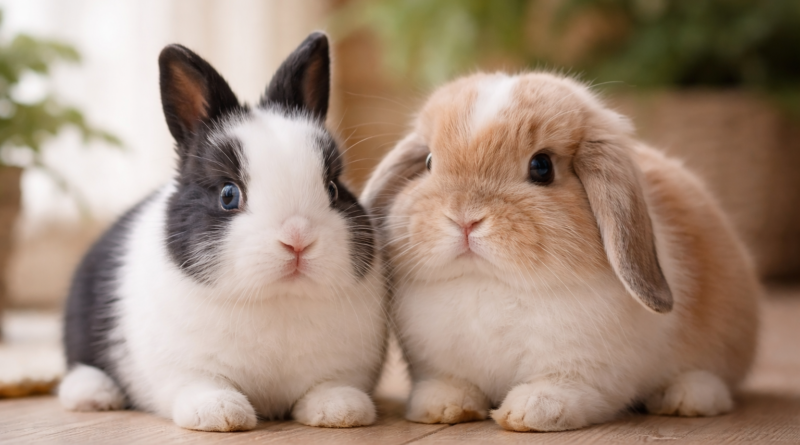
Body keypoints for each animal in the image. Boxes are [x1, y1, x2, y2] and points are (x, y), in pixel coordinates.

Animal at [58, 33, 388, 432]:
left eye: (334, 189)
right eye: (229, 195)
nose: (298, 239)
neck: (277, 300)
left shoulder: (341, 366)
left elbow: (328, 386)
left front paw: (342, 410)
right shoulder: (184, 369)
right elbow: (203, 386)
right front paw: (221, 414)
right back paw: (93, 395)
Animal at [360, 71, 761, 432]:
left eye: (542, 167)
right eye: (429, 163)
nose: (465, 218)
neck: (490, 282)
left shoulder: (591, 374)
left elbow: (564, 391)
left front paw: (527, 412)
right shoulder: (436, 364)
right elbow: (448, 384)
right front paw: (442, 408)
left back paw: (686, 398)